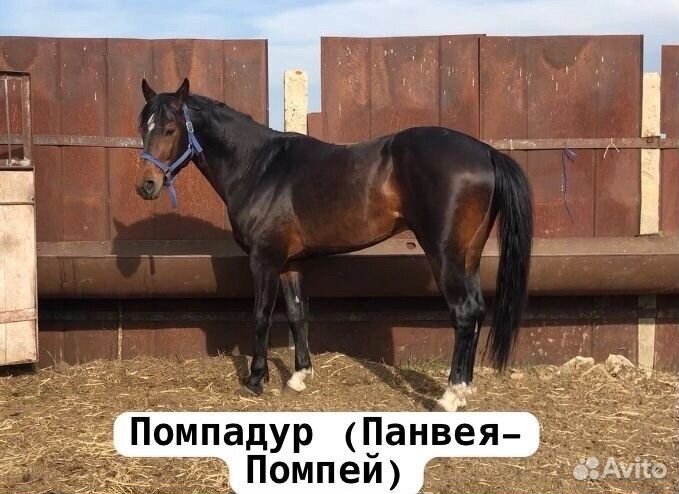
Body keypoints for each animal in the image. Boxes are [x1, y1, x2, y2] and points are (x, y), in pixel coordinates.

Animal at [136, 78, 533, 411]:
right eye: (143, 128)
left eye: (170, 129)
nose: (146, 185)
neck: (261, 168)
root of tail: (485, 152)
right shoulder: (290, 263)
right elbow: (297, 314)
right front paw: (298, 378)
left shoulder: (265, 259)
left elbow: (261, 315)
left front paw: (255, 379)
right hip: (469, 255)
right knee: (476, 310)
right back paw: (465, 390)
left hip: (445, 255)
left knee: (464, 312)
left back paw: (450, 396)